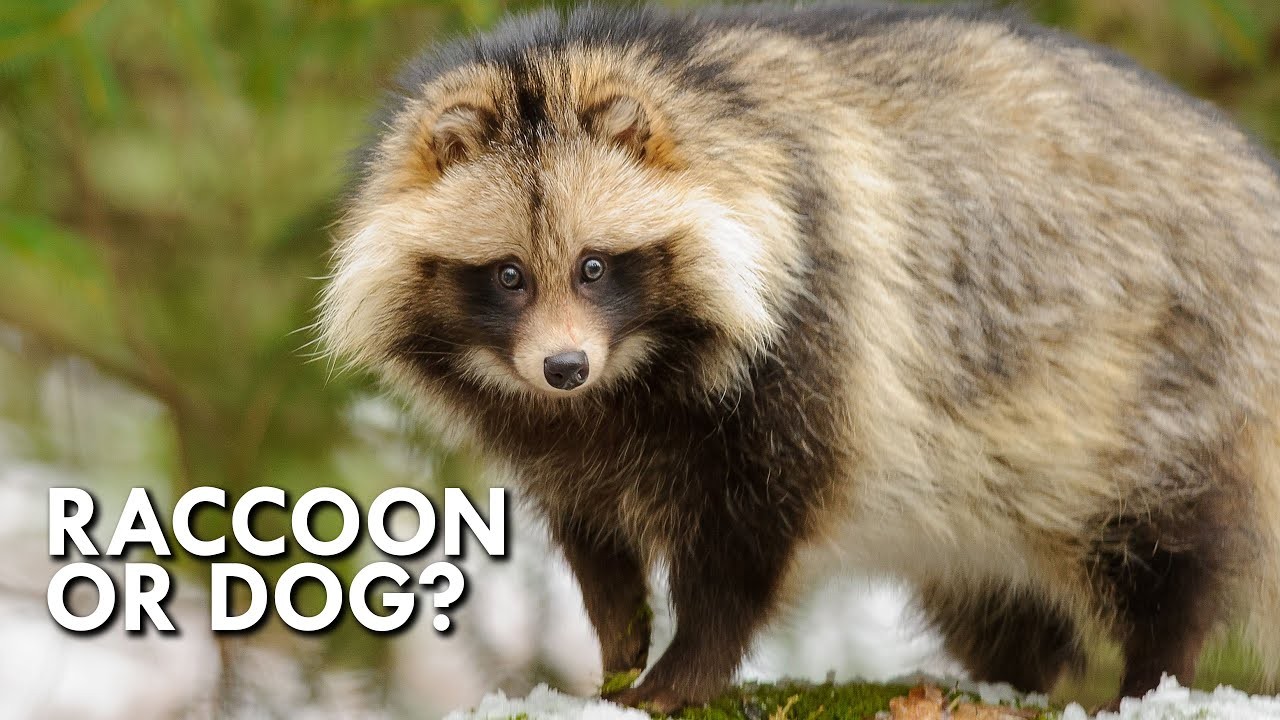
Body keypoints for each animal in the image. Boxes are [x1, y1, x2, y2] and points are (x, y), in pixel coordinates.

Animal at [320, 2, 1280, 711]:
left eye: (594, 266)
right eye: (509, 276)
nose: (564, 368)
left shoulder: (818, 322)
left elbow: (748, 531)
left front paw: (685, 665)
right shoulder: (554, 431)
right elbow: (592, 533)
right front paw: (619, 643)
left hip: (1157, 378)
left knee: (1166, 545)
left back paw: (1154, 672)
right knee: (996, 595)